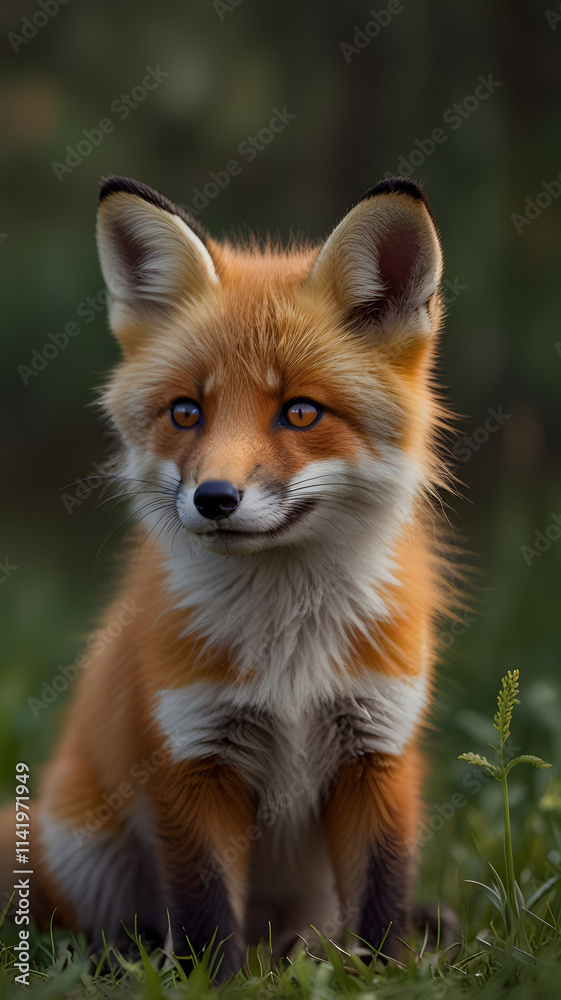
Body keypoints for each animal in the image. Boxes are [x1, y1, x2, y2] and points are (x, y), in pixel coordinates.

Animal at [1, 174, 451, 975]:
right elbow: (207, 914)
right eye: (187, 412)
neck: (291, 649)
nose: (213, 499)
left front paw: (386, 977)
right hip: (81, 849)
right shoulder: (189, 758)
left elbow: (382, 900)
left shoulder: (377, 748)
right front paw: (211, 983)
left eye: (300, 412)